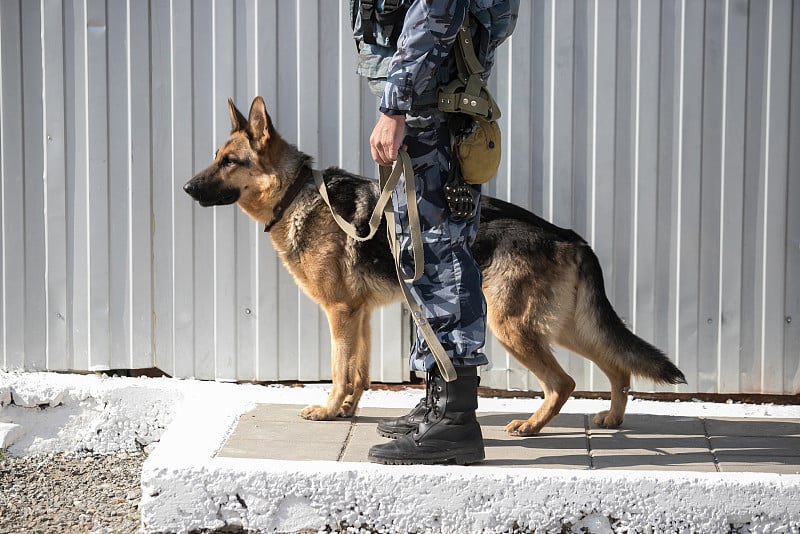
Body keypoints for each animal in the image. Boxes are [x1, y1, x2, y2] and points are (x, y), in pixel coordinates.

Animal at [184, 97, 684, 440]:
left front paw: (327, 410)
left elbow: (339, 369)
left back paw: (532, 425)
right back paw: (613, 417)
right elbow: (360, 371)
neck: (295, 194)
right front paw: (347, 410)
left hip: (514, 327)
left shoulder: (340, 313)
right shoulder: (359, 315)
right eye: (216, 157)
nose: (187, 187)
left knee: (565, 381)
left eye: (230, 161)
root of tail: (568, 235)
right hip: (564, 326)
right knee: (617, 365)